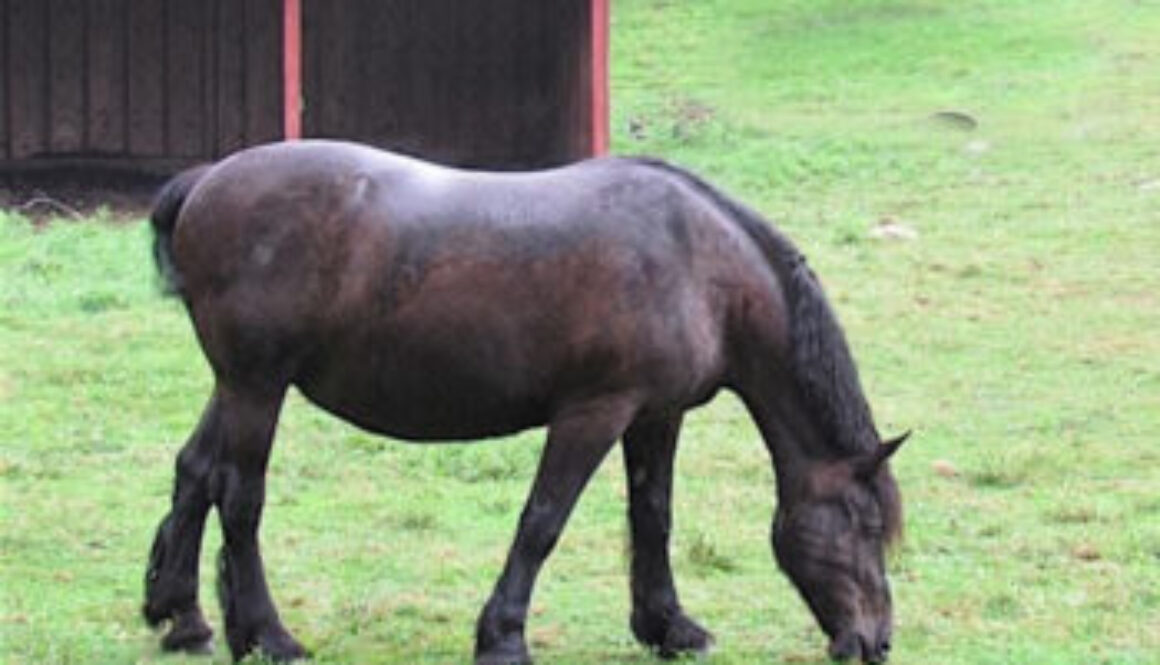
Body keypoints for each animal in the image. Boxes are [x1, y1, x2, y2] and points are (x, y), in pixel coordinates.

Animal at [142, 140, 907, 664]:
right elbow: (543, 520)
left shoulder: (656, 415)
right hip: (256, 387)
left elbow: (653, 517)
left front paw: (669, 626)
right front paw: (503, 636)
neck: (698, 264)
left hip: (242, 385)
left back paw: (184, 618)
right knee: (240, 498)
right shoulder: (594, 411)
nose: (876, 641)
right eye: (867, 526)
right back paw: (270, 635)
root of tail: (206, 181)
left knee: (196, 474)